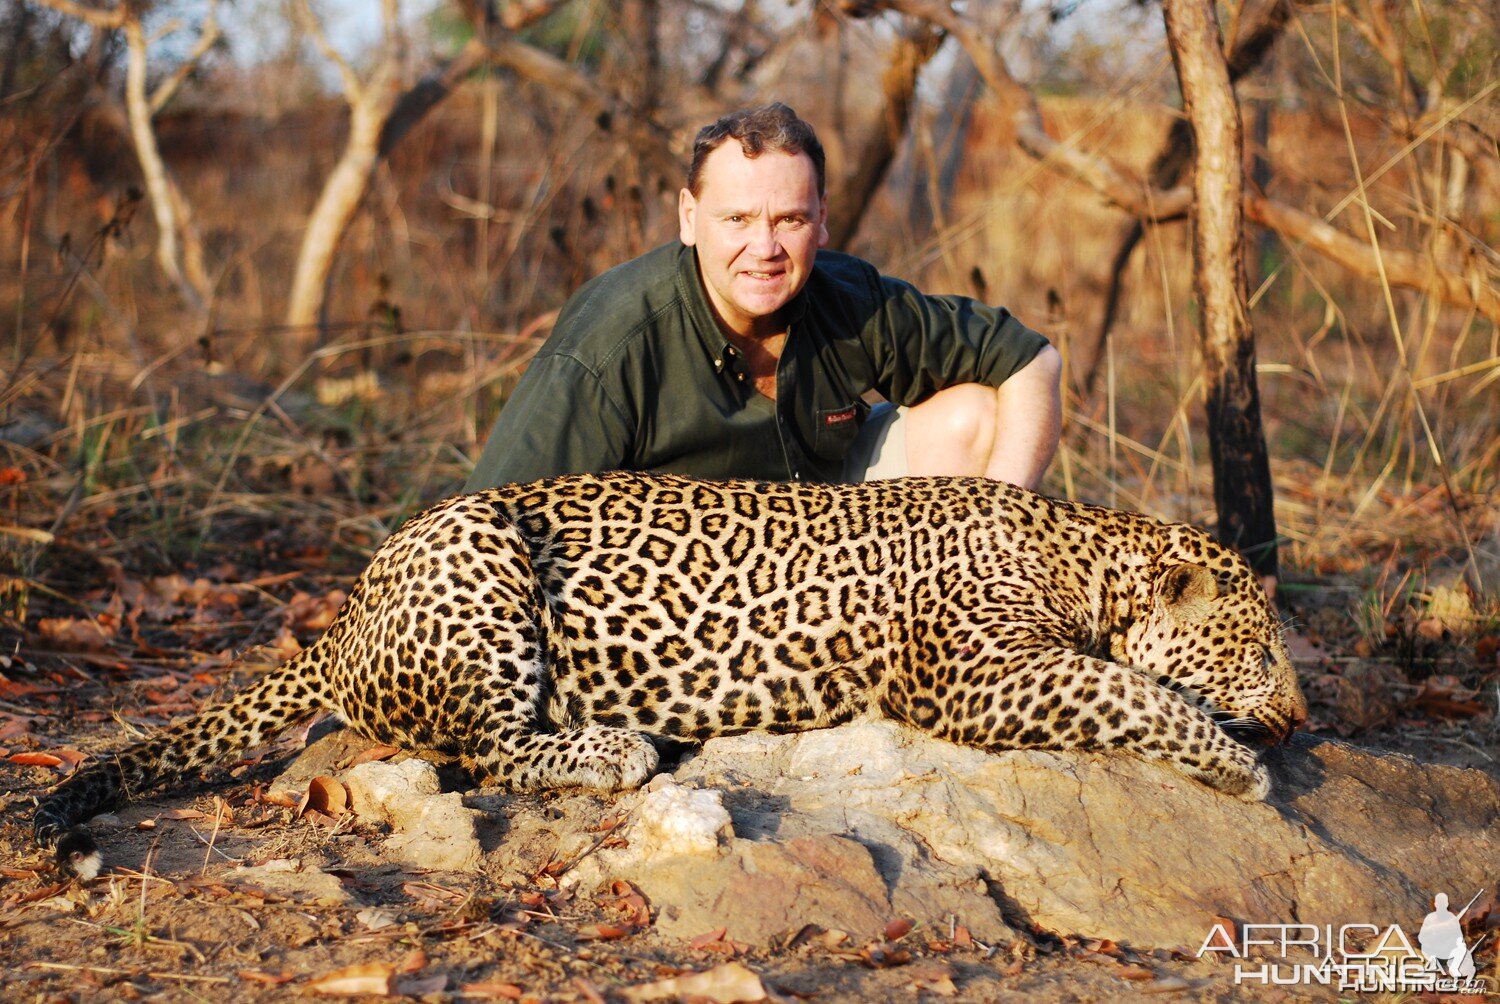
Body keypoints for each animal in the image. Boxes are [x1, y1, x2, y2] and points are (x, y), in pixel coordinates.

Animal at [32, 471, 1302, 876]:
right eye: (1260, 645)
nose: (1297, 713)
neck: (1085, 556)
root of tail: (343, 614)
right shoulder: (982, 675)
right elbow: (1130, 689)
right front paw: (1241, 766)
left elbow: (1130, 683)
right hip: (483, 562)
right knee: (488, 744)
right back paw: (620, 745)